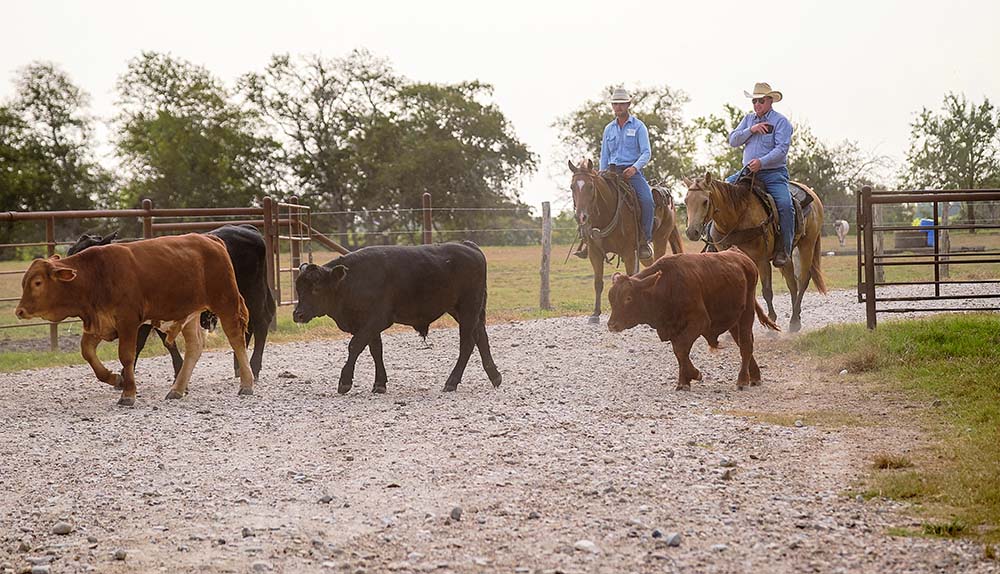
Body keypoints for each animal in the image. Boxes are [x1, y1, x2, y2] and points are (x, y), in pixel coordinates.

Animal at [68, 225, 276, 382]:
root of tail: (247, 228)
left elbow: (140, 344)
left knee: (260, 324)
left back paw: (253, 368)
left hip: (253, 293)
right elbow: (163, 342)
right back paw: (240, 367)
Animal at [292, 241, 504, 394]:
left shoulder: (376, 320)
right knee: (481, 338)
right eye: (298, 288)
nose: (298, 314)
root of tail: (469, 246)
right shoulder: (369, 325)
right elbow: (376, 350)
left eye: (316, 288)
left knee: (467, 343)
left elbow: (355, 346)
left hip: (469, 308)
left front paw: (345, 382)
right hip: (463, 310)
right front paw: (379, 384)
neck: (353, 280)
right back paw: (494, 376)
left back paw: (452, 382)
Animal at [568, 159, 684, 324]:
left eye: (590, 186)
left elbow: (630, 279)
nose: (581, 217)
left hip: (661, 238)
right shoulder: (594, 253)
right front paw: (595, 314)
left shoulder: (628, 252)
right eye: (572, 187)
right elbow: (598, 283)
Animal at [600, 248, 780, 392]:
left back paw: (742, 380)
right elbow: (680, 352)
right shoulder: (674, 328)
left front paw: (694, 375)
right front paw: (685, 380)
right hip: (733, 320)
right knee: (742, 342)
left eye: (628, 298)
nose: (612, 325)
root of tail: (740, 255)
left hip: (746, 313)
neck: (666, 286)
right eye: (611, 299)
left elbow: (681, 349)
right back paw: (755, 376)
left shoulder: (699, 322)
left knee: (746, 345)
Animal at [680, 172, 828, 332]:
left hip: (807, 245)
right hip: (786, 256)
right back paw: (797, 318)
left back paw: (794, 321)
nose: (691, 232)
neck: (737, 218)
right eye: (686, 201)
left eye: (705, 201)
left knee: (803, 280)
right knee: (792, 284)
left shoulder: (761, 260)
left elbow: (767, 291)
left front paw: (771, 322)